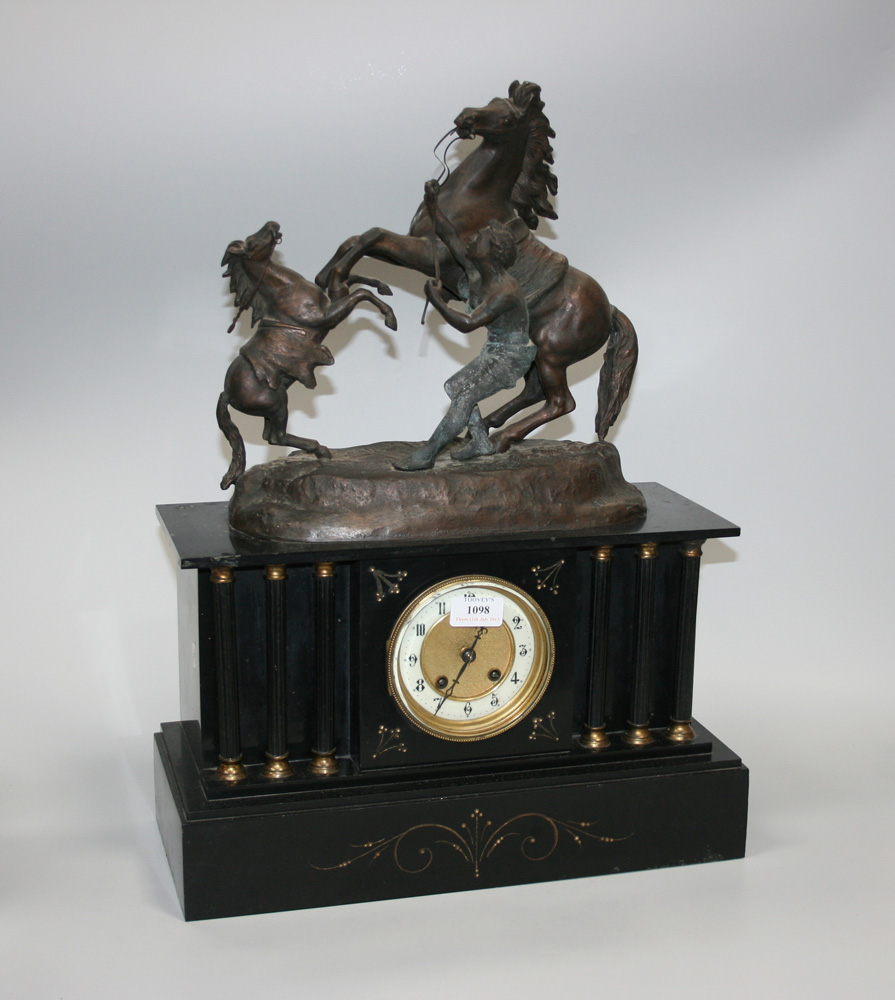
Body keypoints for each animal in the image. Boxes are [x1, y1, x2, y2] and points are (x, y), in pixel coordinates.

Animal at [217, 221, 396, 490]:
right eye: (253, 242)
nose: (272, 225)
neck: (285, 290)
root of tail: (227, 393)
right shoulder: (327, 316)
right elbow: (360, 292)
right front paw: (390, 317)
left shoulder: (333, 301)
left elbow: (347, 280)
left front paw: (383, 286)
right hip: (277, 403)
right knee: (276, 437)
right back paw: (320, 450)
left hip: (272, 406)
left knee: (269, 435)